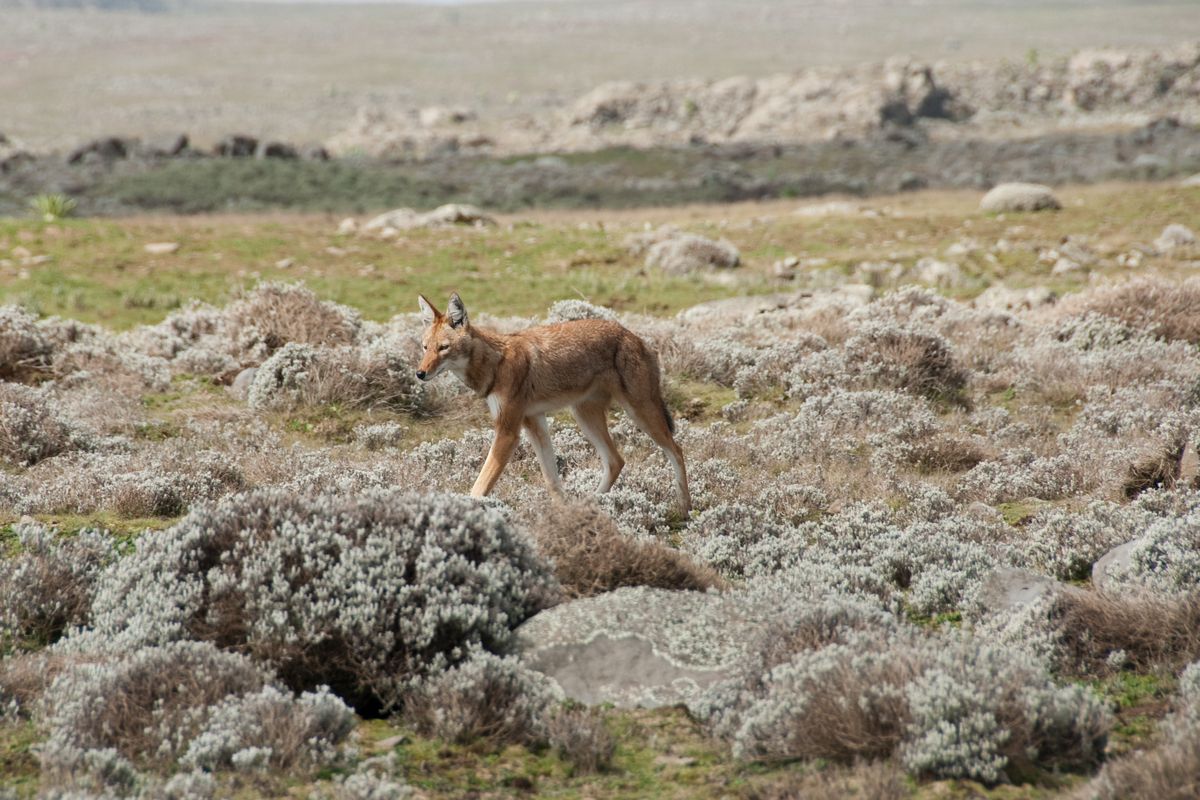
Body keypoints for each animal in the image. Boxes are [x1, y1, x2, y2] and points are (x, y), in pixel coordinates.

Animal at [415, 293, 690, 514]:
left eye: (443, 348)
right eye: (425, 347)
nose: (419, 373)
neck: (495, 364)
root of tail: (635, 336)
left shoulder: (508, 432)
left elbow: (479, 486)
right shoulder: (534, 421)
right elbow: (552, 480)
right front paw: (563, 513)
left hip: (640, 413)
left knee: (676, 450)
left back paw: (685, 508)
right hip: (584, 416)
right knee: (616, 461)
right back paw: (592, 504)